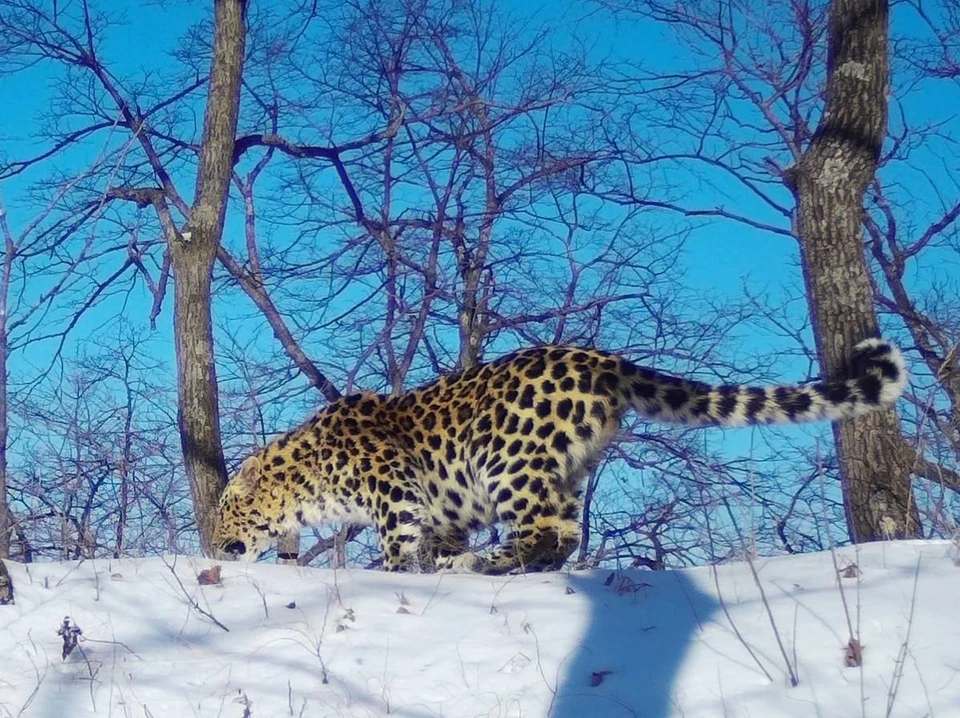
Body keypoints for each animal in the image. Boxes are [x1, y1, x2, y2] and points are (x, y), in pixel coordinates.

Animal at [212, 336, 908, 572]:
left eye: (222, 517)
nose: (211, 549)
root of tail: (604, 360)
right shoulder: (443, 512)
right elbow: (437, 542)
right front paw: (434, 565)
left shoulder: (397, 497)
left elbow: (398, 546)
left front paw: (394, 573)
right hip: (569, 468)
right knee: (565, 534)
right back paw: (498, 566)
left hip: (508, 458)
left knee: (542, 530)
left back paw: (486, 564)